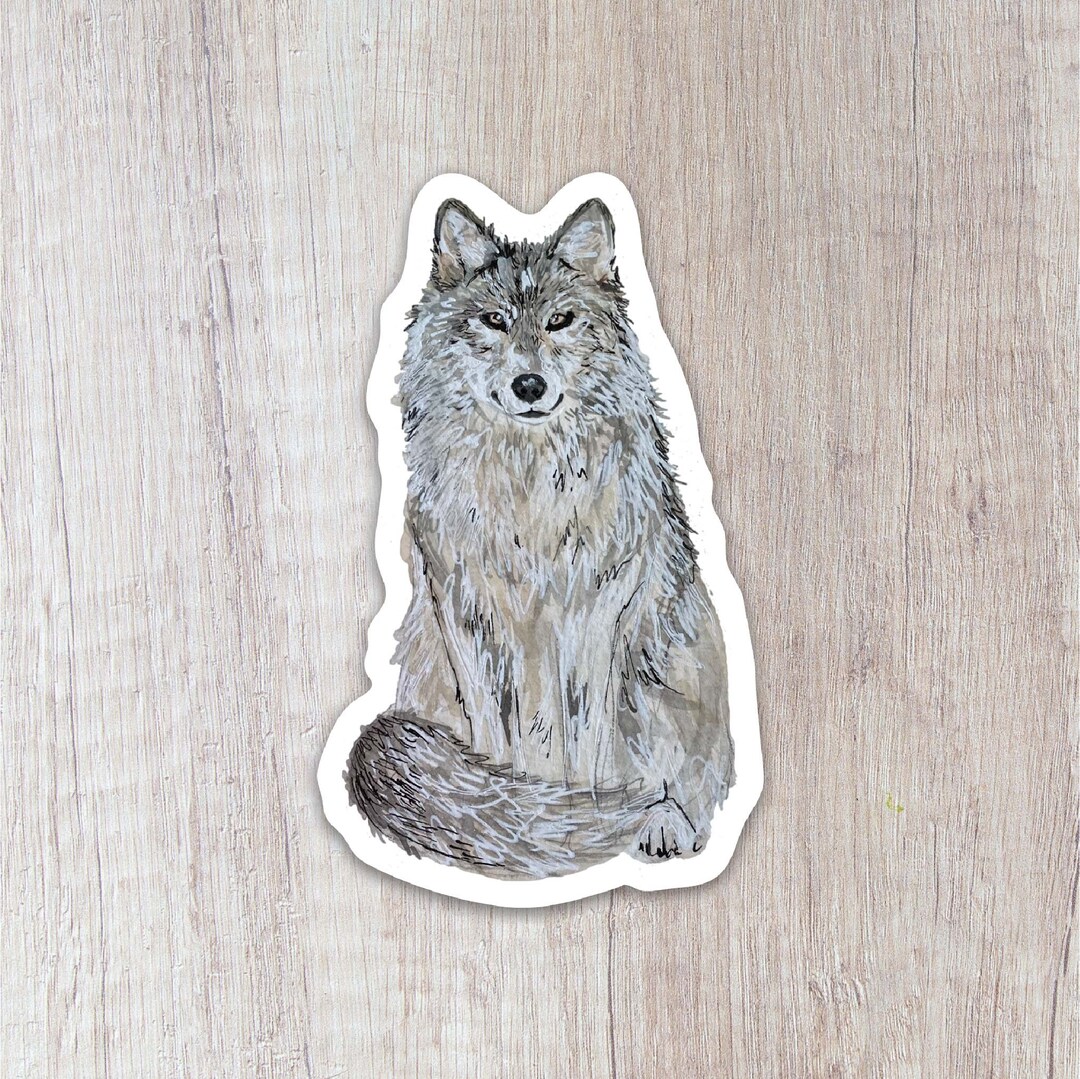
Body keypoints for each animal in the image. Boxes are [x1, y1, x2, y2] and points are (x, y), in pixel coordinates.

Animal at [345, 195, 734, 880]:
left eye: (560, 321)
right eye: (494, 321)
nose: (530, 385)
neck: (529, 489)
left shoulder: (595, 615)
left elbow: (583, 738)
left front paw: (577, 816)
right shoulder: (468, 610)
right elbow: (500, 735)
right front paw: (524, 815)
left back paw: (661, 821)